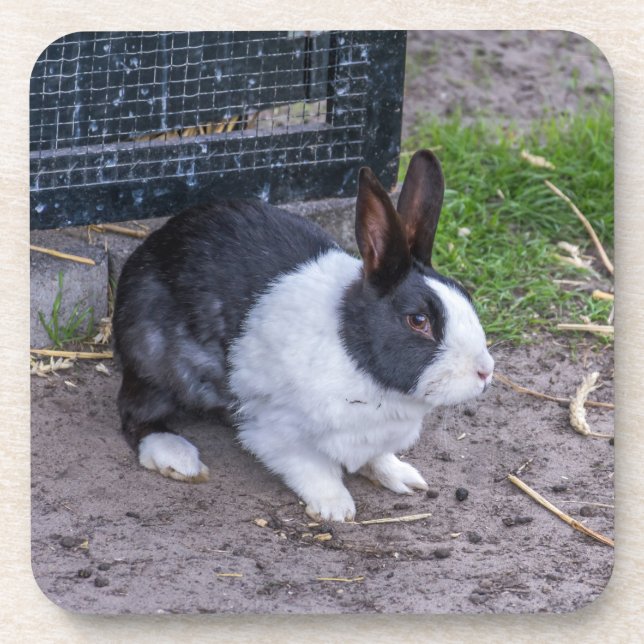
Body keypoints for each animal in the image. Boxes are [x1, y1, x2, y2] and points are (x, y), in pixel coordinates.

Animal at [113, 149, 494, 522]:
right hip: (152, 358)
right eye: (418, 320)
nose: (485, 372)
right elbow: (311, 467)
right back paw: (177, 456)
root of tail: (151, 246)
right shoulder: (277, 429)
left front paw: (402, 476)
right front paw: (335, 507)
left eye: (465, 295)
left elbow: (376, 457)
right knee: (136, 414)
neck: (356, 354)